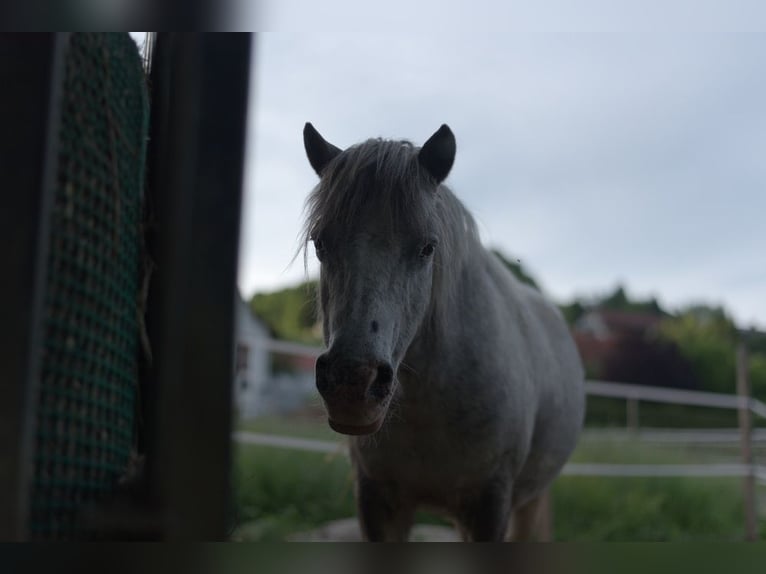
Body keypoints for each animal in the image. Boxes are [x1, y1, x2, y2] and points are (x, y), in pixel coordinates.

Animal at [301, 122, 585, 541]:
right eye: (320, 242)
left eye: (427, 248)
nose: (352, 382)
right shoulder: (378, 501)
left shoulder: (489, 505)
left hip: (530, 500)